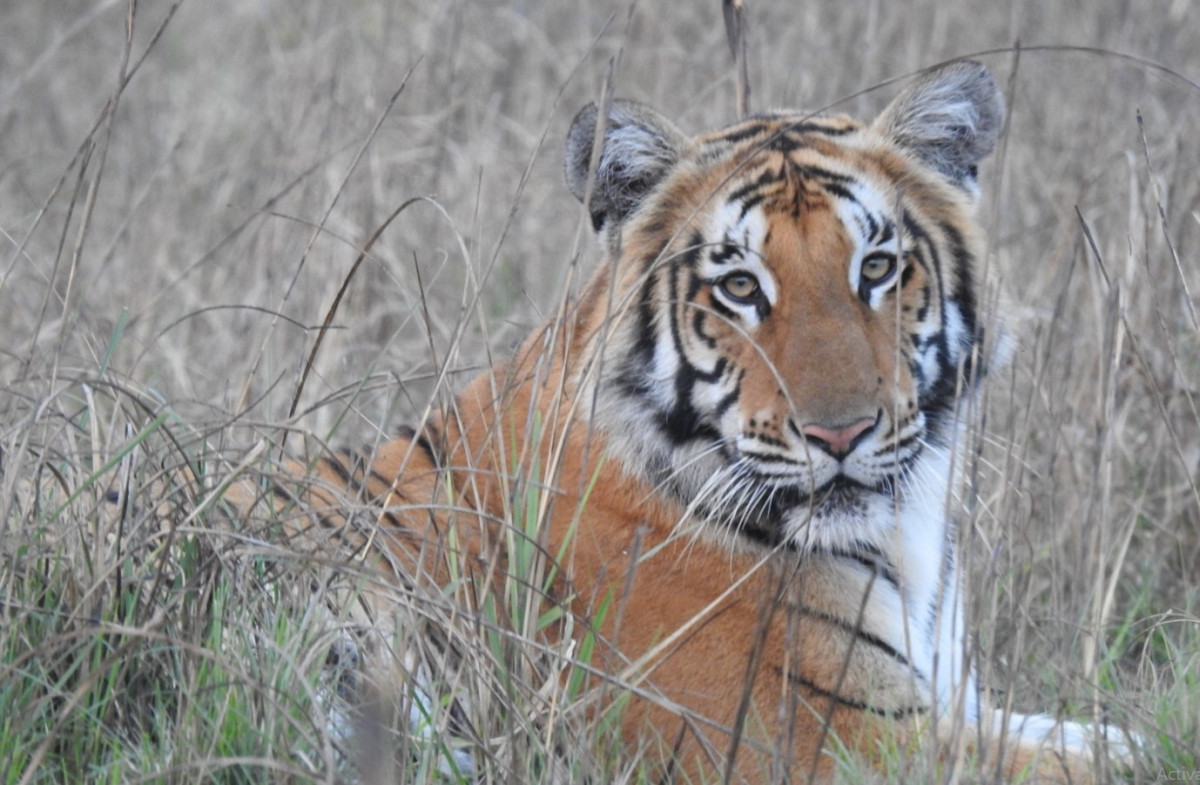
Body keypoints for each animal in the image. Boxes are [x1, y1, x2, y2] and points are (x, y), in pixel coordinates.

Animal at [243, 63, 1132, 785]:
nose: (840, 436)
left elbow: (1106, 731)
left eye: (877, 269)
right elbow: (1104, 758)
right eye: (740, 287)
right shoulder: (821, 738)